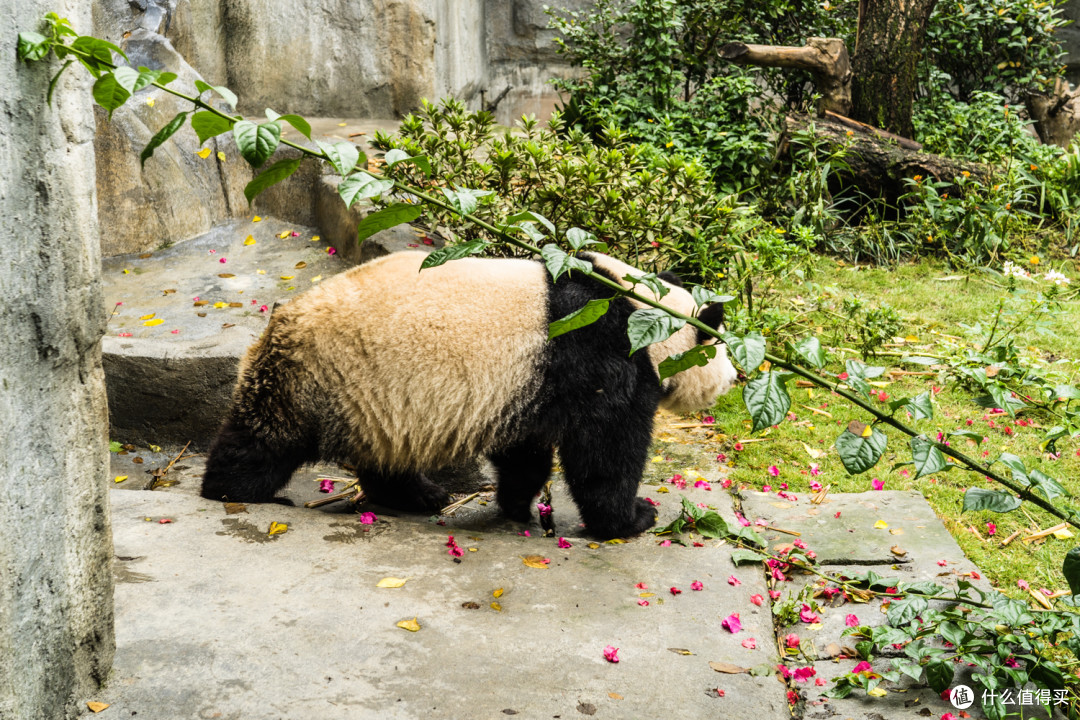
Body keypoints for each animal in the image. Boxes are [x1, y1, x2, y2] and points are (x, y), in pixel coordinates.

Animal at [200, 250, 743, 537]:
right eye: (720, 344)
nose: (734, 380)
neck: (646, 310)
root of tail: (281, 320)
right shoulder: (599, 352)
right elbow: (605, 450)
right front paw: (632, 517)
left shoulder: (529, 383)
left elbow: (524, 450)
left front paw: (516, 504)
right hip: (320, 374)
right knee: (263, 440)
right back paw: (233, 490)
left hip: (372, 402)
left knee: (384, 456)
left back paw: (421, 496)